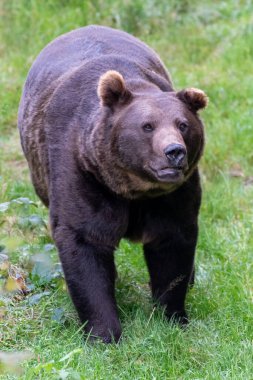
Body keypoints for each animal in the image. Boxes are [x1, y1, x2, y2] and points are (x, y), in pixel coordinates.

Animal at [17, 25, 208, 342]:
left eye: (182, 124)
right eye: (147, 126)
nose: (174, 152)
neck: (132, 187)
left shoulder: (173, 195)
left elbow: (173, 246)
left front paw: (172, 317)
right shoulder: (83, 175)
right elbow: (85, 245)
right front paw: (104, 333)